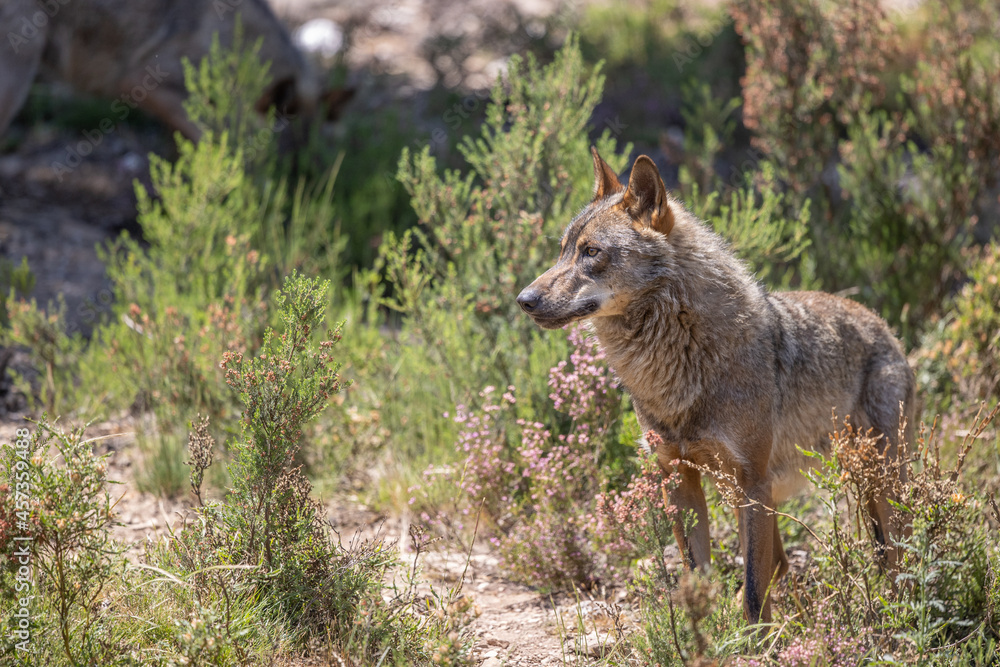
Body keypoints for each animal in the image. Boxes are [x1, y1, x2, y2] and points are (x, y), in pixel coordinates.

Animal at [517, 149, 916, 624]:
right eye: (562, 250)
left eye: (591, 252)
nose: (524, 300)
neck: (679, 368)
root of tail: (886, 327)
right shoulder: (677, 477)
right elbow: (698, 576)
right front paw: (702, 632)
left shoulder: (752, 480)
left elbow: (753, 593)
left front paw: (754, 639)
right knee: (784, 563)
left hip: (877, 486)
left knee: (896, 556)